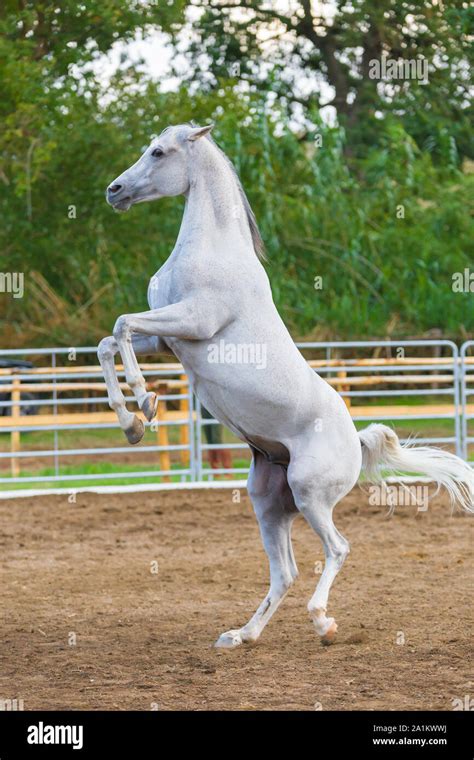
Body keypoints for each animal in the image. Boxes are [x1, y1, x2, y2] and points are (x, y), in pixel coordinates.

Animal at [97, 123, 474, 648]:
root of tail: (355, 440)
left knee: (337, 548)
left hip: (310, 494)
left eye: (158, 152)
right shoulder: (167, 340)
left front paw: (144, 402)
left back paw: (323, 623)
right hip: (269, 502)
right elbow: (109, 340)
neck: (214, 248)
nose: (114, 191)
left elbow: (121, 325)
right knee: (286, 572)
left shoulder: (193, 322)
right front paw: (132, 421)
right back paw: (241, 635)